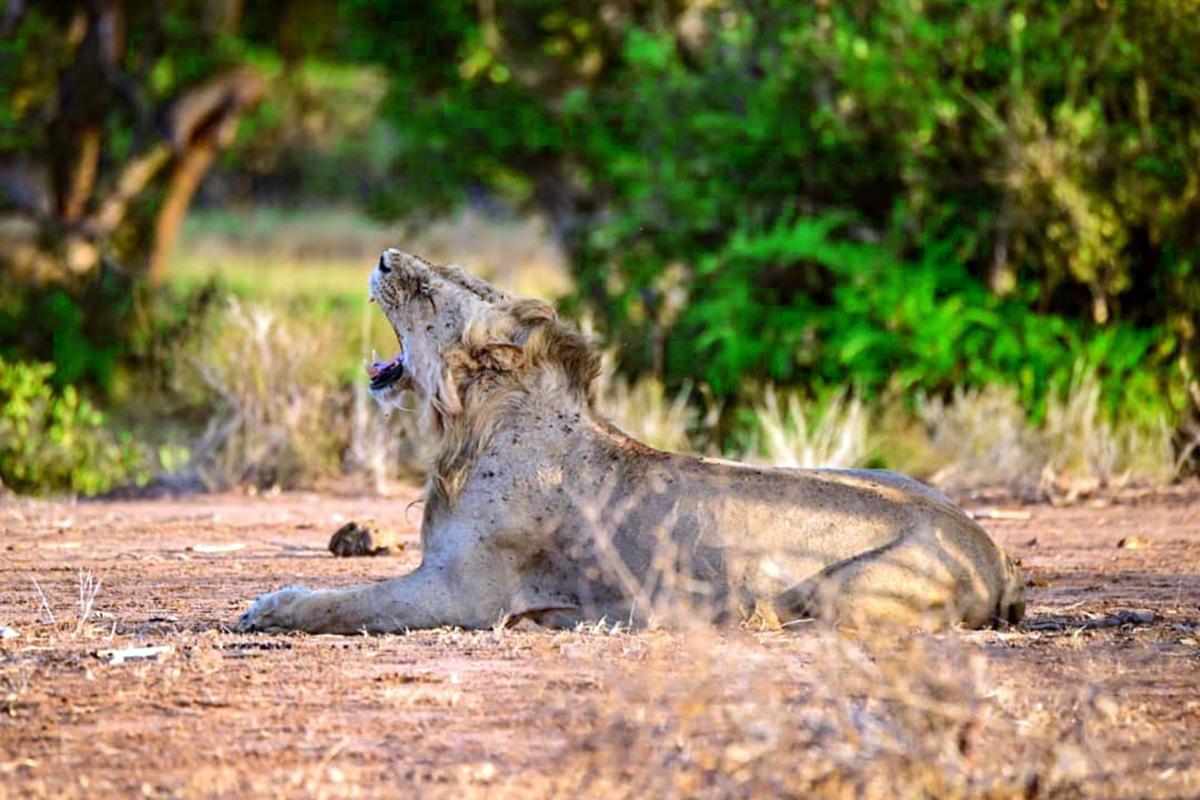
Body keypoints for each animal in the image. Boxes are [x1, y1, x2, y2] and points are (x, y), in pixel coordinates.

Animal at [234, 248, 1022, 633]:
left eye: (431, 290)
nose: (385, 257)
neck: (470, 426)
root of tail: (991, 552)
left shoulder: (460, 593)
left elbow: (347, 604)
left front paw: (271, 608)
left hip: (844, 589)